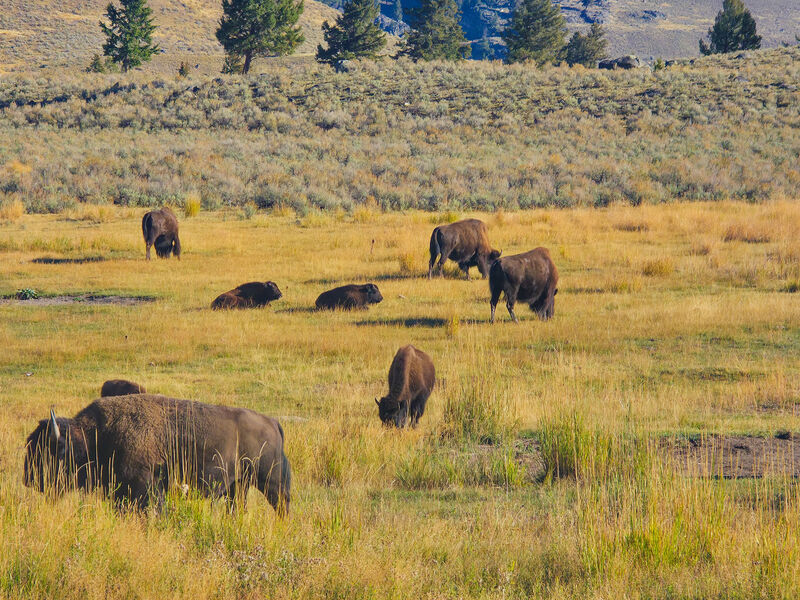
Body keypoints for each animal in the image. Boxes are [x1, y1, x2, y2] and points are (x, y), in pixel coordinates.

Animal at [24, 395, 291, 515]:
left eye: (50, 451)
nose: (29, 480)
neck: (96, 435)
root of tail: (273, 422)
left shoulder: (145, 484)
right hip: (239, 485)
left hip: (270, 483)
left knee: (282, 504)